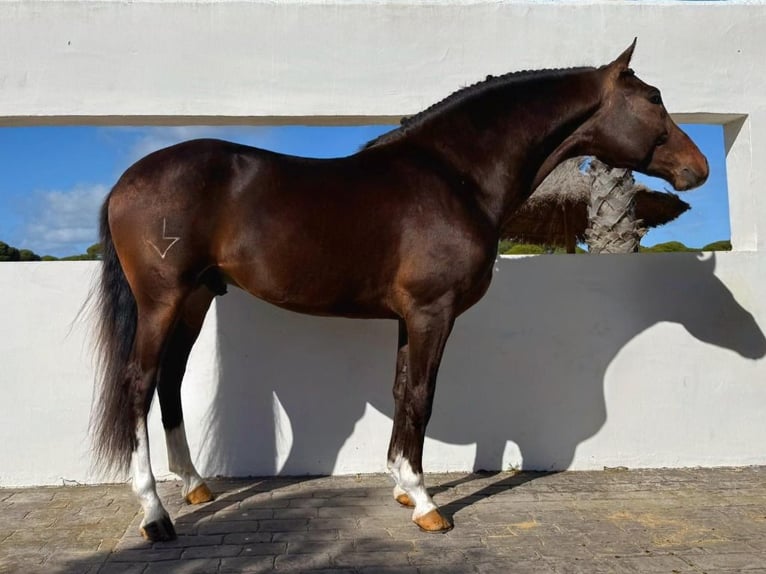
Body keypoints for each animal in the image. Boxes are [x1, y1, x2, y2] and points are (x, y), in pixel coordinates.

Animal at [91, 40, 708, 541]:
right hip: (162, 302)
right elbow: (421, 397)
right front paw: (427, 503)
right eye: (654, 99)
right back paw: (155, 515)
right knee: (139, 384)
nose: (697, 168)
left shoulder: (407, 319)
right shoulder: (433, 313)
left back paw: (195, 487)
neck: (455, 175)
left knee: (169, 381)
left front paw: (401, 488)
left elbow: (399, 391)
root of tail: (125, 181)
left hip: (195, 300)